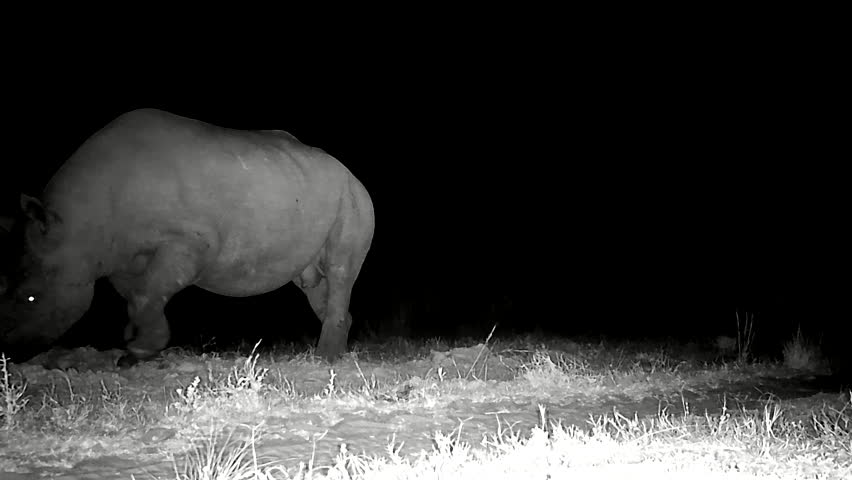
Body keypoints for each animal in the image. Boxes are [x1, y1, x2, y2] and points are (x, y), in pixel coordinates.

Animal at [0, 109, 374, 365]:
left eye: (31, 298)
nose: (7, 353)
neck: (77, 224)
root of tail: (350, 172)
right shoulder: (120, 256)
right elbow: (139, 294)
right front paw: (135, 350)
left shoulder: (189, 240)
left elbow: (147, 292)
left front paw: (138, 348)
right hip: (304, 188)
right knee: (315, 284)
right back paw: (333, 353)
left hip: (352, 197)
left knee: (339, 270)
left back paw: (325, 359)